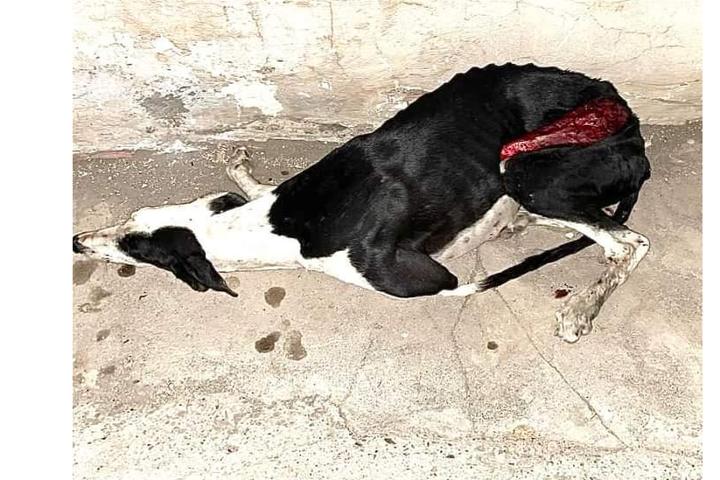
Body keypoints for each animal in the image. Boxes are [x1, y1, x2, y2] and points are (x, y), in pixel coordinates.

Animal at [73, 63, 651, 343]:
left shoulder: (426, 278)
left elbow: (457, 282)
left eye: (135, 251)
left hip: (527, 170)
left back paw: (580, 308)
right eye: (131, 219)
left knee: (629, 244)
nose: (77, 241)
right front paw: (240, 169)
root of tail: (629, 117)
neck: (283, 225)